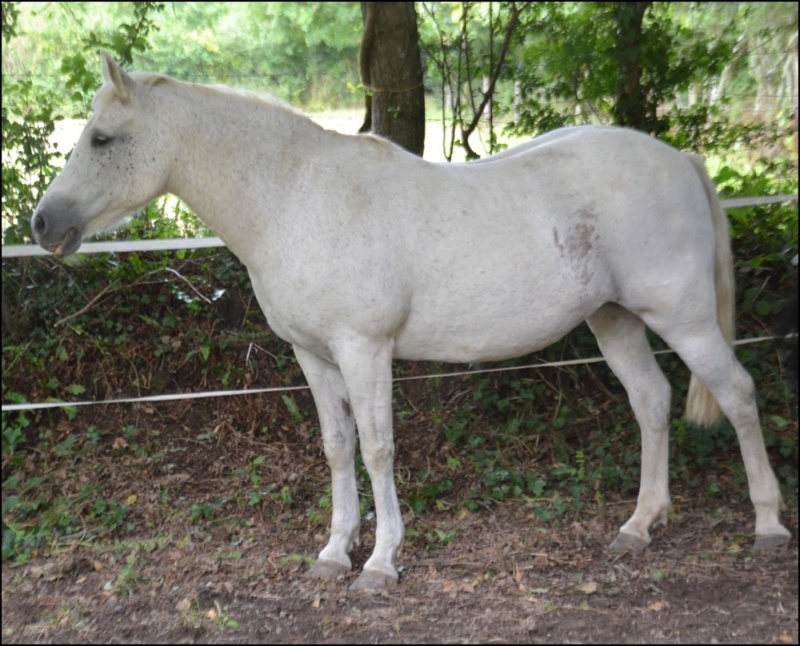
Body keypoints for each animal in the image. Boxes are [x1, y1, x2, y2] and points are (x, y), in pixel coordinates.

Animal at [32, 53, 792, 596]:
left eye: (102, 138)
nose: (42, 225)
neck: (294, 196)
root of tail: (679, 160)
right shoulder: (314, 357)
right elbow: (337, 448)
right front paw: (333, 553)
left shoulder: (364, 351)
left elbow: (377, 449)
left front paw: (380, 564)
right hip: (615, 321)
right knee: (653, 402)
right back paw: (639, 526)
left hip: (682, 318)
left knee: (737, 393)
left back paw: (768, 525)